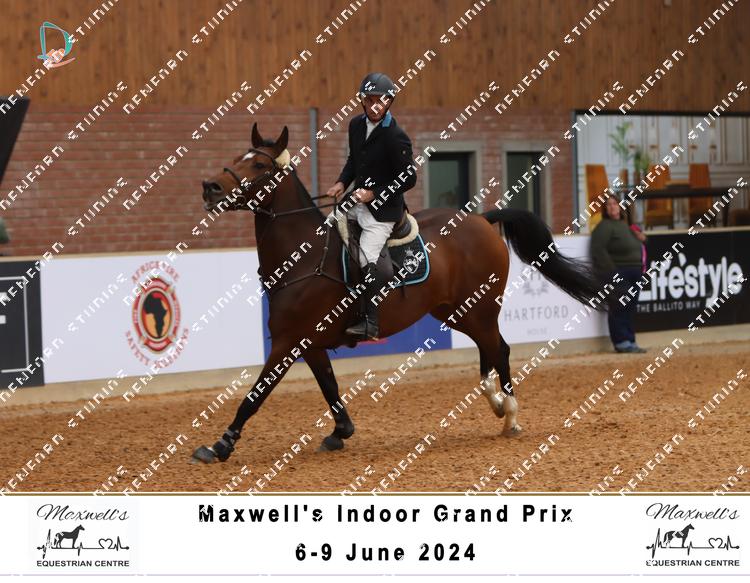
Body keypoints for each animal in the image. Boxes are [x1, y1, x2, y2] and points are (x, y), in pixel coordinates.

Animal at [191, 123, 604, 463]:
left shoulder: (287, 342)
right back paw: (497, 403)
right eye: (237, 158)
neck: (304, 256)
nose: (210, 188)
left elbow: (254, 397)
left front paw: (220, 445)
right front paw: (340, 433)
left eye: (260, 166)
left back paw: (510, 415)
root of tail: (481, 220)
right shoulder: (309, 343)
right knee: (489, 349)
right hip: (456, 312)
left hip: (481, 309)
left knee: (499, 349)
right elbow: (330, 387)